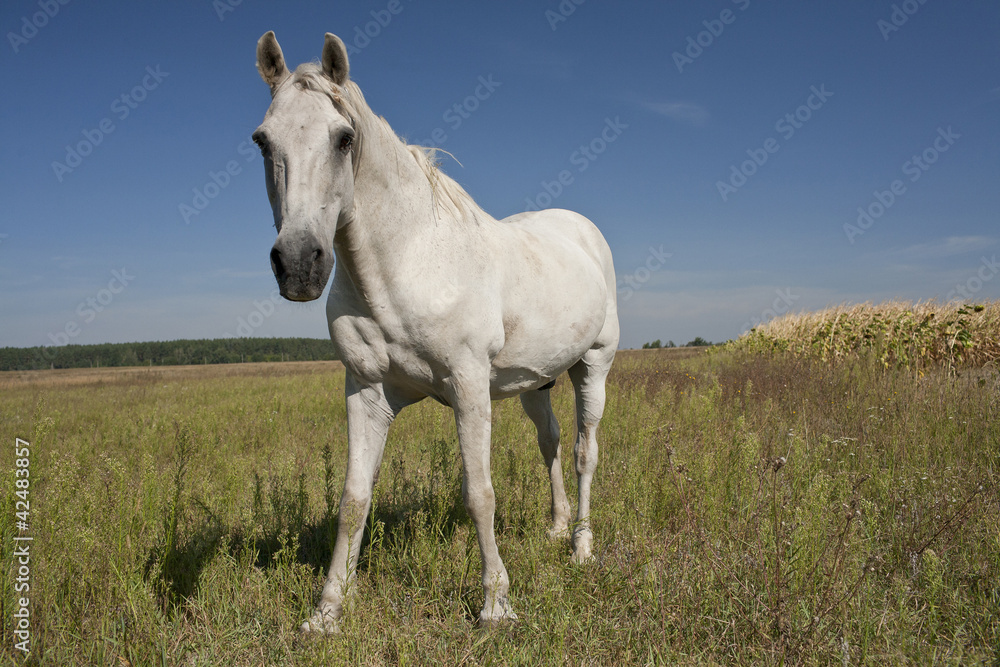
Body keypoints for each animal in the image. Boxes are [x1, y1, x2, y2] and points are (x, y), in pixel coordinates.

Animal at [253, 31, 620, 633]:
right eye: (262, 141)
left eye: (343, 138)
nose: (300, 264)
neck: (407, 263)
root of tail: (583, 230)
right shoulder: (367, 392)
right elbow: (354, 498)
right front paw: (328, 610)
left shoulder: (468, 387)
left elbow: (480, 493)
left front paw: (495, 605)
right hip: (536, 383)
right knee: (551, 443)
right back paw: (556, 528)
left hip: (594, 366)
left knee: (585, 450)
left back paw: (582, 548)